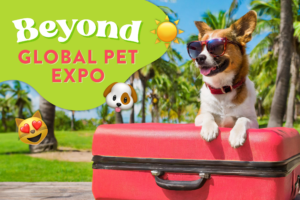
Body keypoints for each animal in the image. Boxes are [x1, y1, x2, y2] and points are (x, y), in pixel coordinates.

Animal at [189, 10, 258, 148]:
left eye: (217, 47)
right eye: (198, 49)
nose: (199, 58)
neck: (222, 88)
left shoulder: (254, 121)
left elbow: (243, 119)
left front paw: (237, 134)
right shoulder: (199, 116)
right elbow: (208, 115)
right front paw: (209, 129)